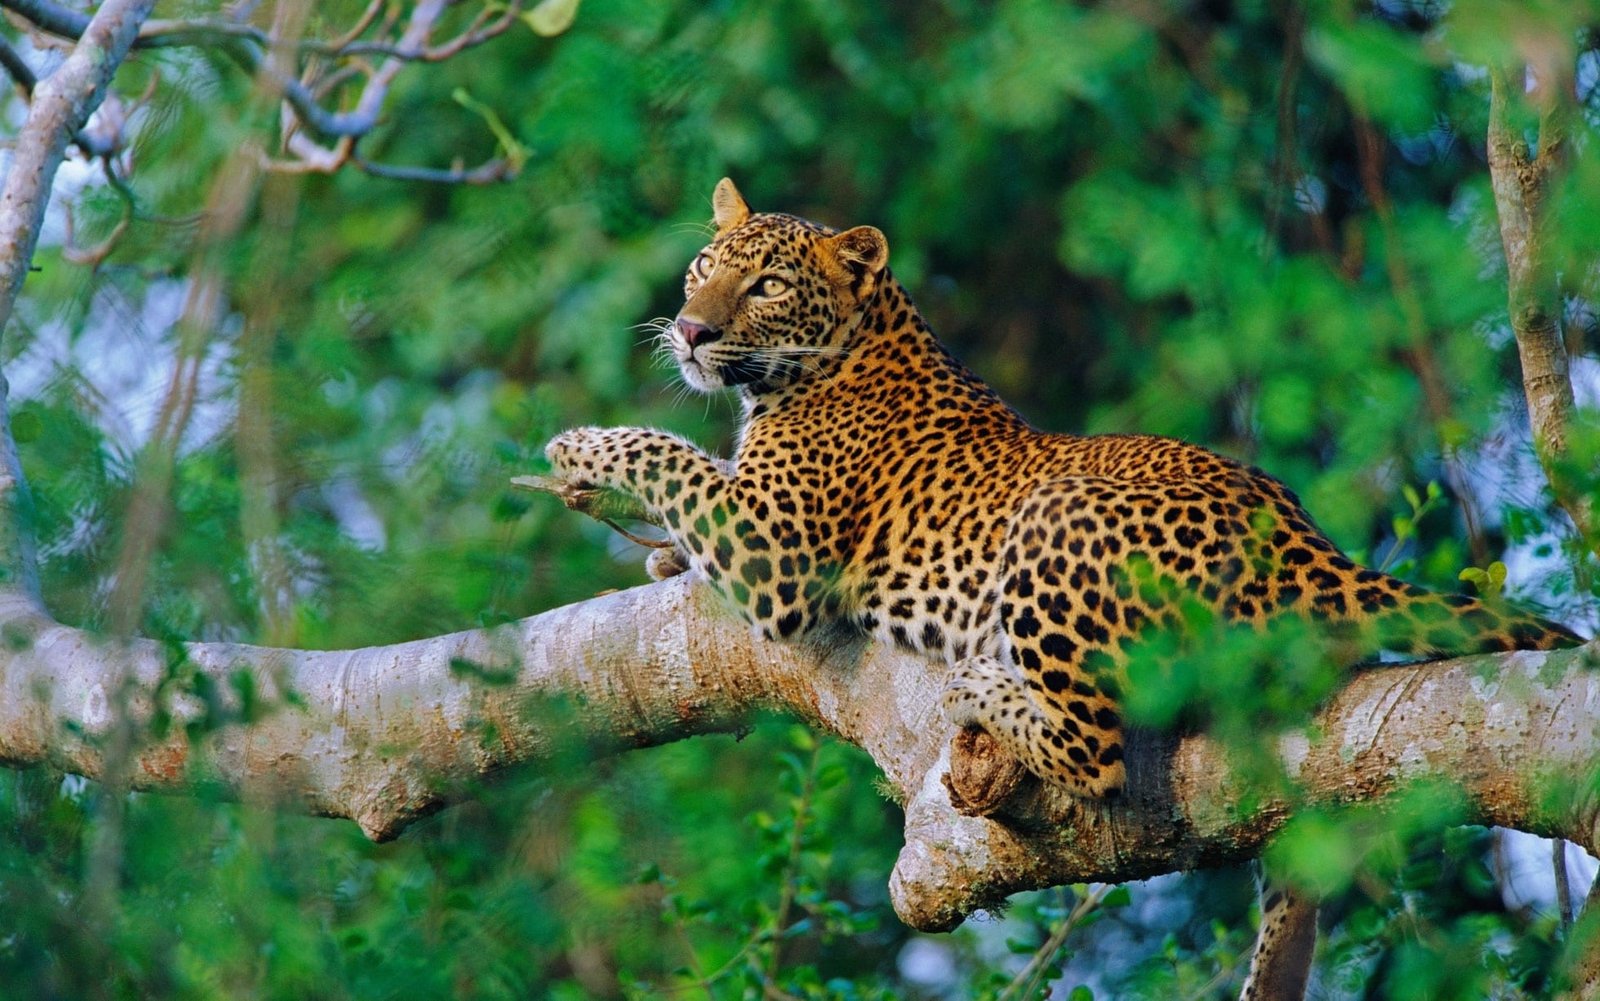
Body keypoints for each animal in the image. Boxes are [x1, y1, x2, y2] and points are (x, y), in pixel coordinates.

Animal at [544, 181, 1580, 997]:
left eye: (764, 285)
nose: (689, 329)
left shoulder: (774, 543)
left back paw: (984, 686)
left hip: (1052, 521)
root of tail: (1305, 541)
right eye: (701, 267)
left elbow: (671, 454)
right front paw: (661, 557)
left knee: (1097, 752)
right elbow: (692, 483)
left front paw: (581, 445)